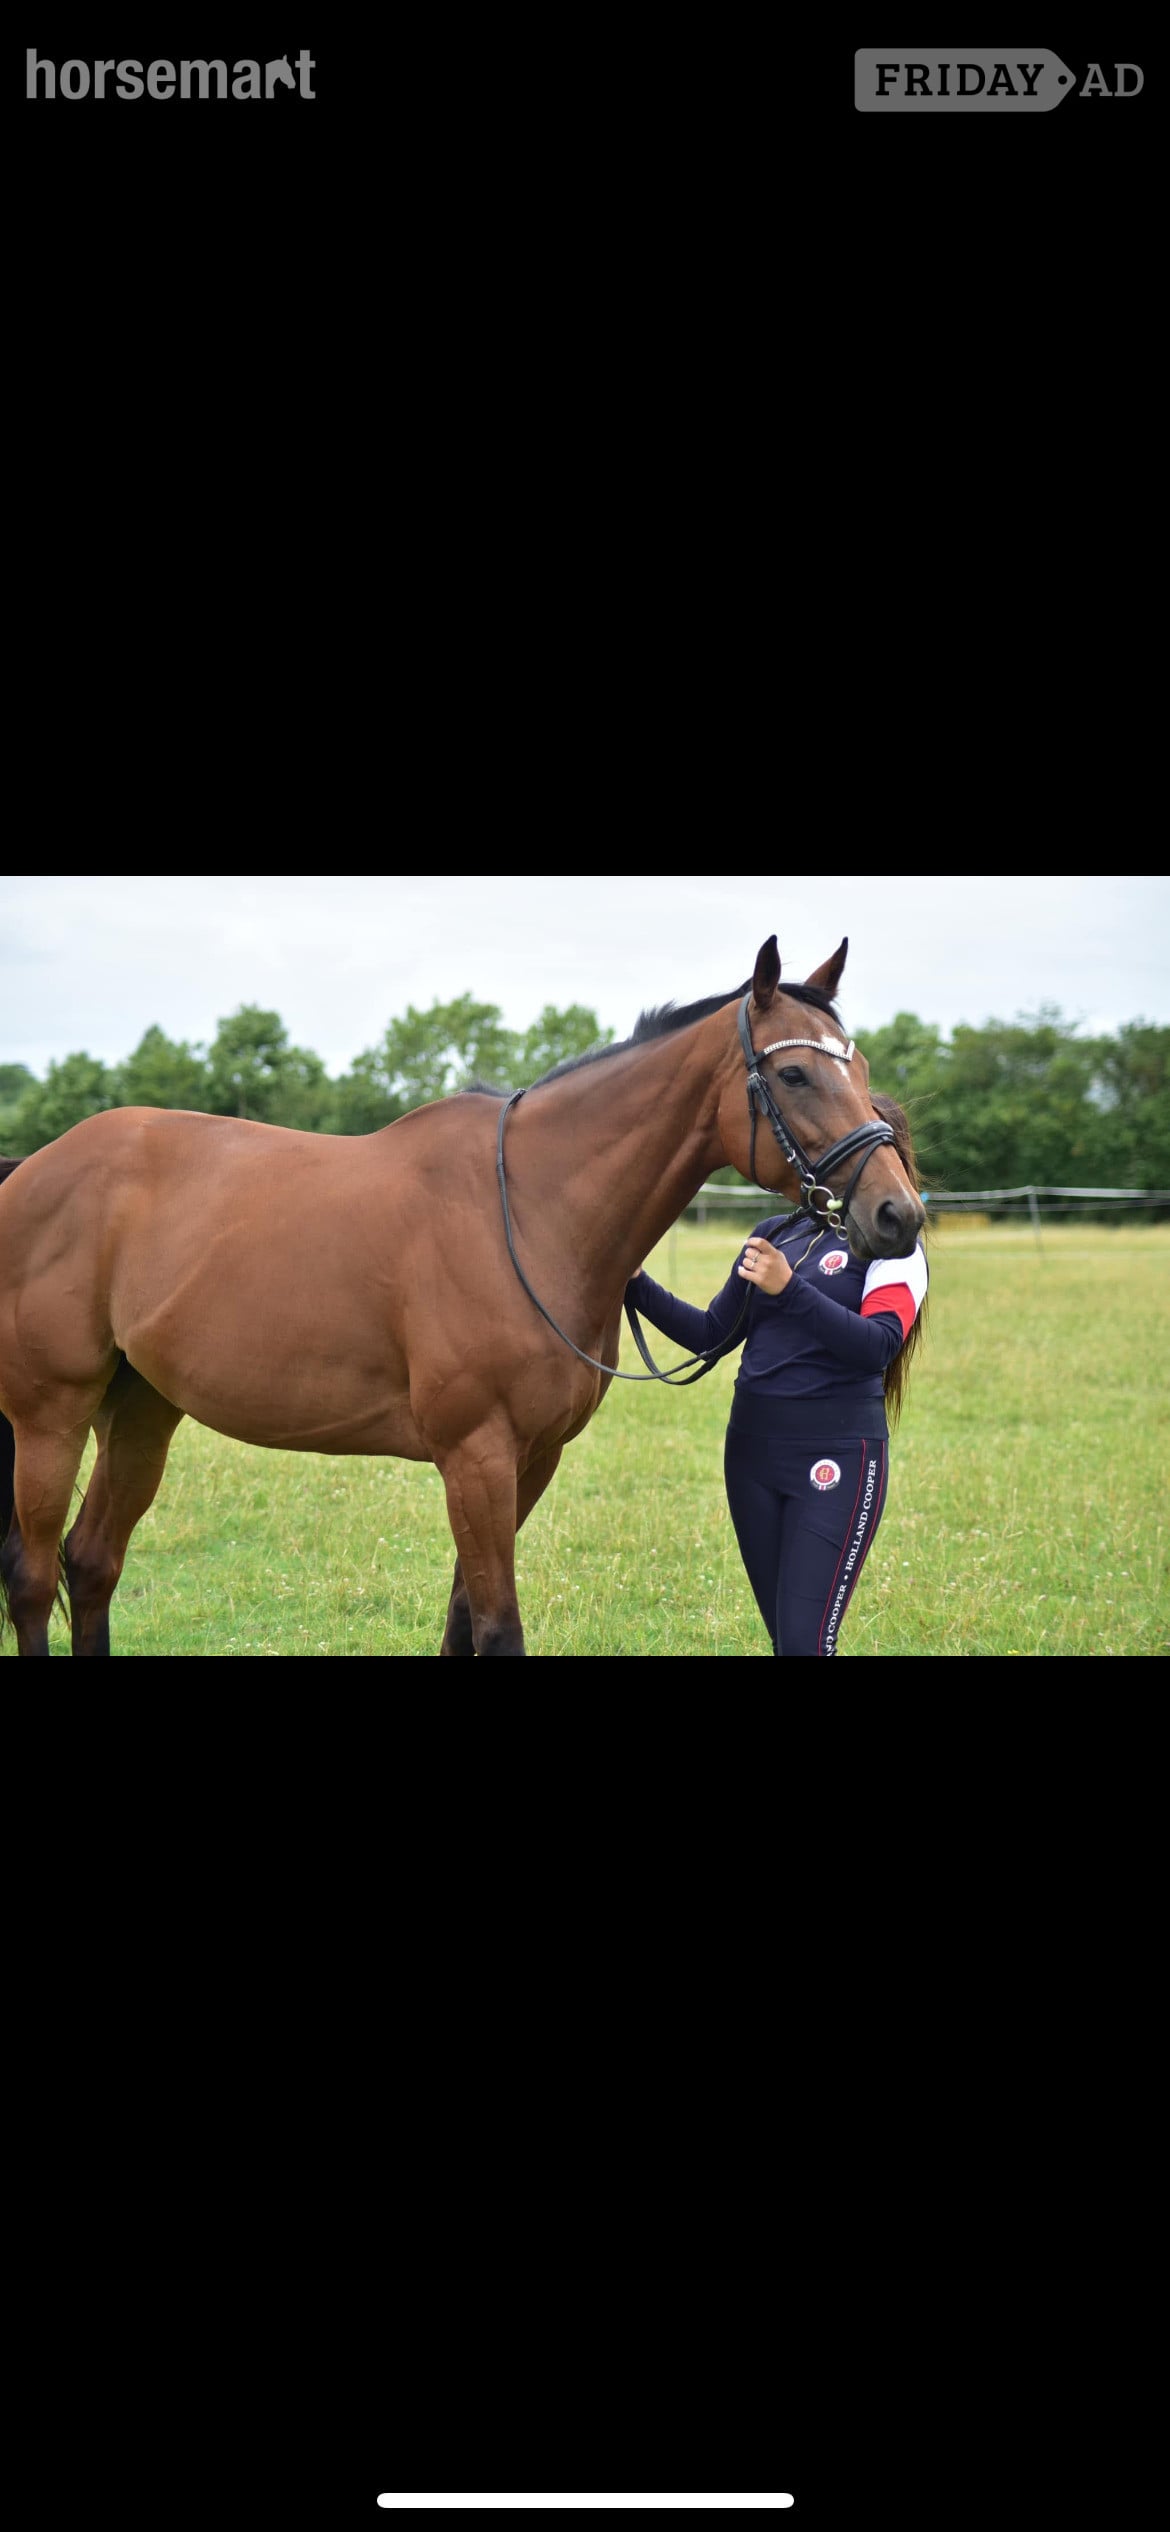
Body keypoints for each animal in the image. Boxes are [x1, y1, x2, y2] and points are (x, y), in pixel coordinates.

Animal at [0, 933, 925, 1658]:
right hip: (52, 1414)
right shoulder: (474, 1458)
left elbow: (458, 1623)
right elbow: (496, 1628)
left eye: (860, 1066)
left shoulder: (529, 1461)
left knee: (92, 1563)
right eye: (796, 1073)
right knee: (34, 1575)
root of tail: (36, 1167)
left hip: (141, 1407)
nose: (898, 1213)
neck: (531, 1211)